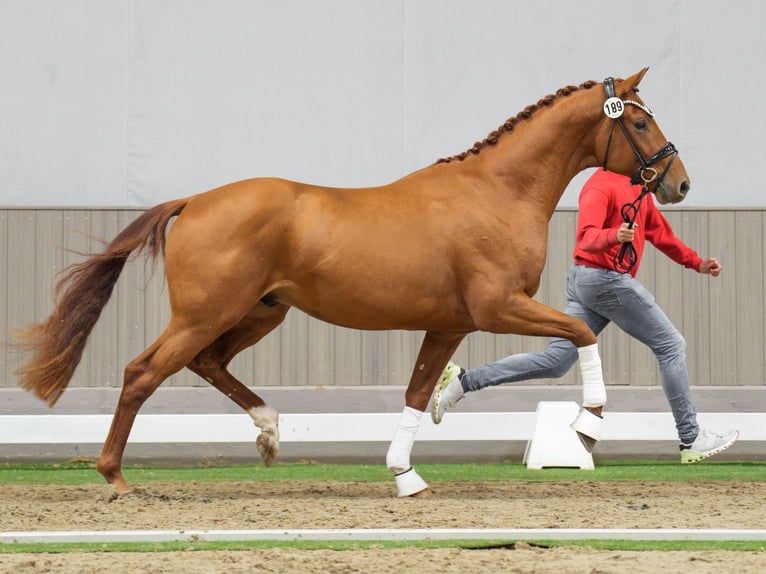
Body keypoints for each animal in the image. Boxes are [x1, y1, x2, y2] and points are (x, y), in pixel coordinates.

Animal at [12, 68, 692, 500]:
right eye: (638, 123)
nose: (679, 182)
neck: (497, 192)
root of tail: (195, 201)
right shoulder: (499, 307)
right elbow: (580, 332)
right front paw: (589, 424)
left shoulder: (449, 324)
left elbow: (418, 394)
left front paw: (405, 477)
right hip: (206, 314)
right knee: (141, 373)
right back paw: (116, 477)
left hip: (260, 313)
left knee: (207, 363)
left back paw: (268, 432)